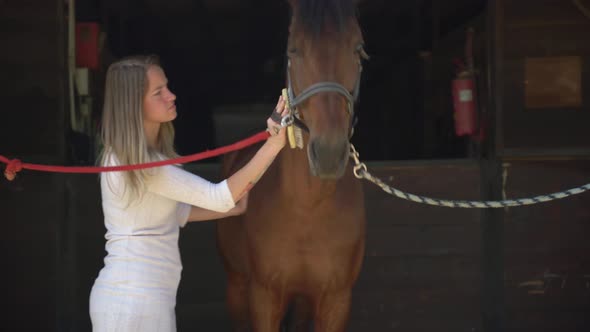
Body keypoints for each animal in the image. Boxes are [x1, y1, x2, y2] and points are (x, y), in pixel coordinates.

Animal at [215, 1, 368, 330]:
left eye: (358, 49)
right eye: (293, 50)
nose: (328, 152)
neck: (307, 206)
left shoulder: (336, 300)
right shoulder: (264, 297)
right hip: (236, 287)